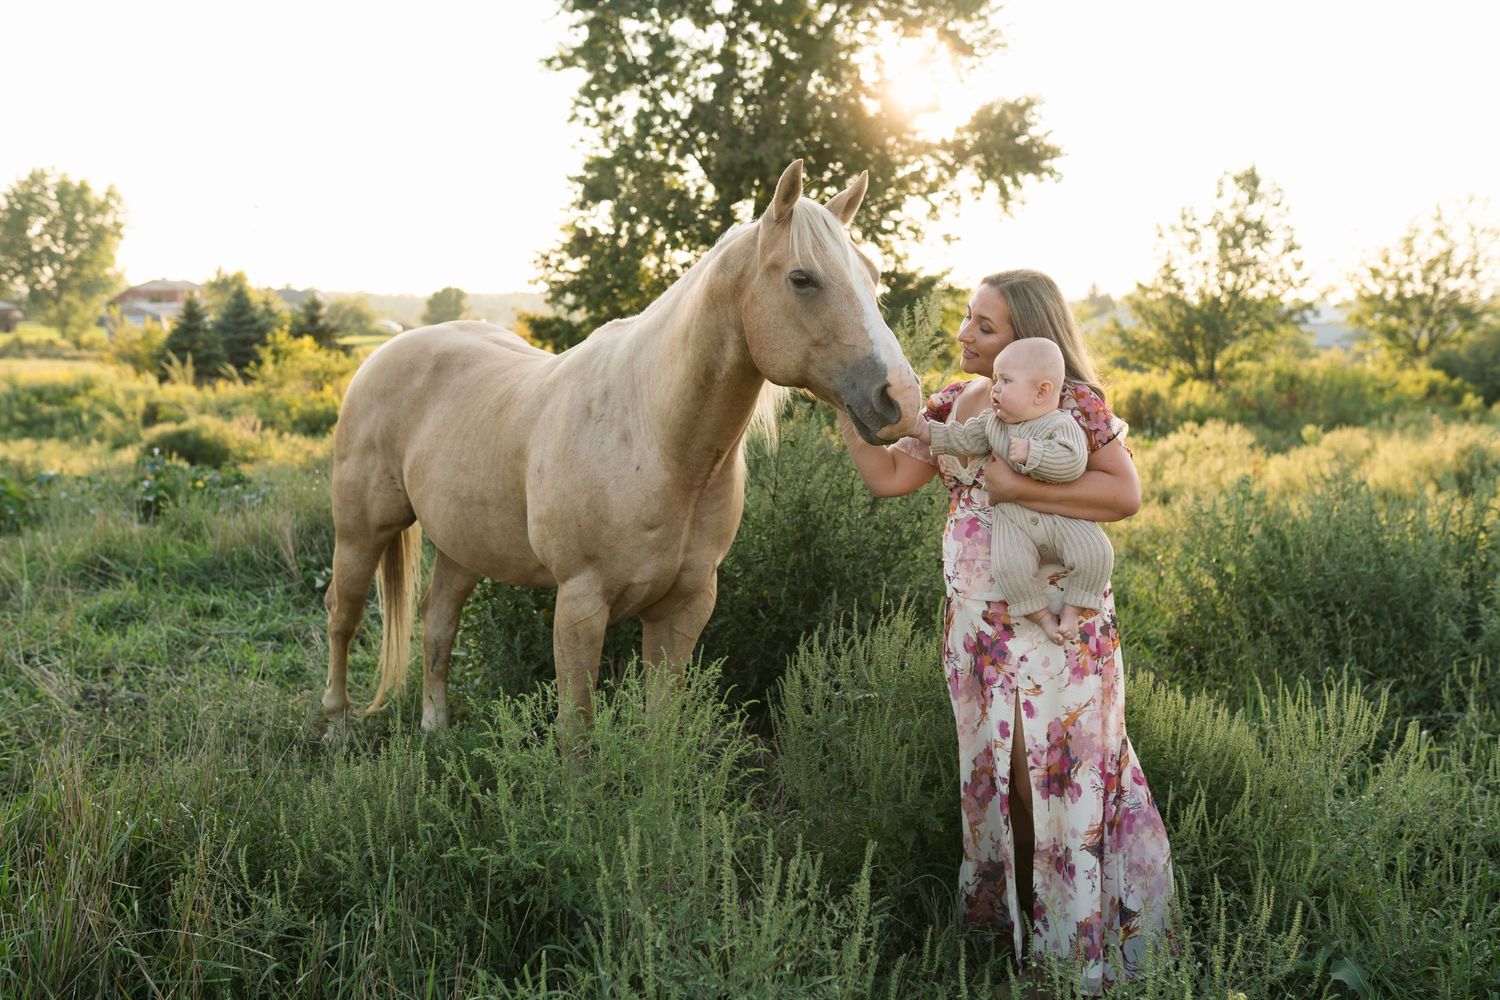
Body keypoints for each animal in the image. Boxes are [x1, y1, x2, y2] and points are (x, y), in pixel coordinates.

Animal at [321, 159, 923, 743]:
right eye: (802, 278)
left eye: (872, 277)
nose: (900, 398)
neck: (656, 441)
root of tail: (387, 351)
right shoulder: (580, 606)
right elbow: (576, 735)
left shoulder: (683, 608)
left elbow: (659, 729)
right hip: (361, 531)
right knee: (342, 615)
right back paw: (336, 728)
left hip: (461, 546)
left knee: (437, 622)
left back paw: (434, 728)